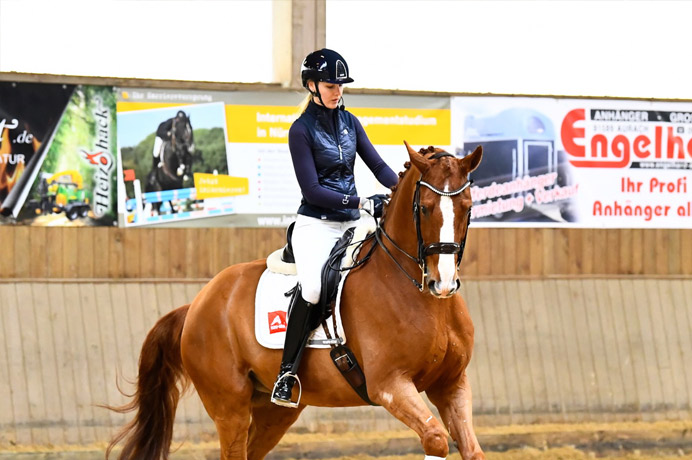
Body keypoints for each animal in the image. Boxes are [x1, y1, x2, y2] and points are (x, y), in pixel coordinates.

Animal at [109, 142, 486, 458]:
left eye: (467, 208)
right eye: (424, 208)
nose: (443, 283)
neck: (423, 299)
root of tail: (197, 305)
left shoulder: (451, 384)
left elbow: (471, 448)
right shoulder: (390, 386)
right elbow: (435, 439)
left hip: (273, 412)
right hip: (229, 407)